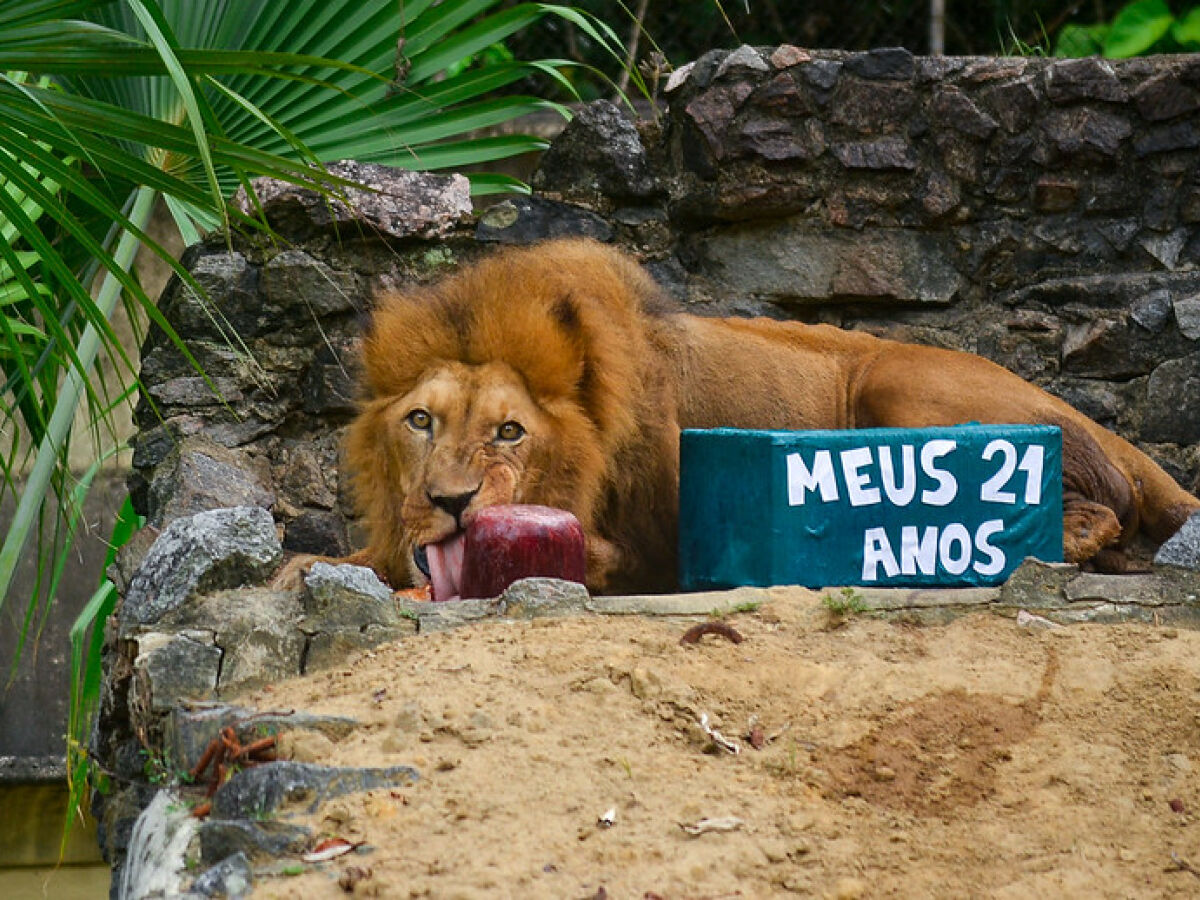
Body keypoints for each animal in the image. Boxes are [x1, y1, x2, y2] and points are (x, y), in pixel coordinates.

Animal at [340, 236, 1200, 595]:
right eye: (420, 421)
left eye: (510, 430)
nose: (450, 503)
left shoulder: (655, 550)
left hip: (899, 385)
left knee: (1097, 515)